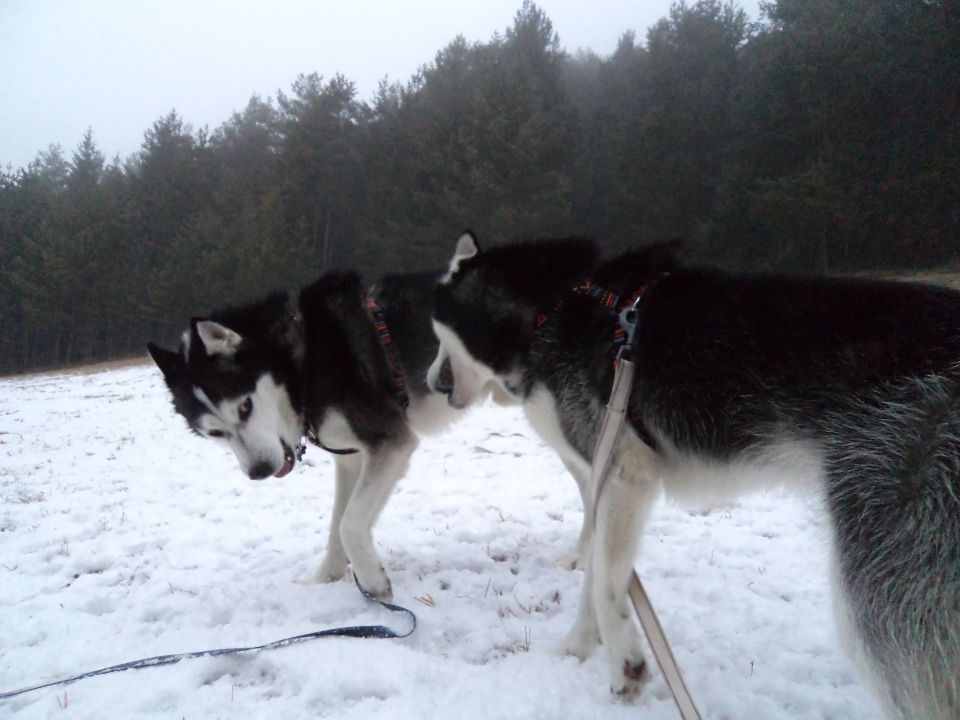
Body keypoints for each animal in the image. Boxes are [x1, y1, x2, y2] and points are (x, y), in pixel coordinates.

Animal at [430, 233, 960, 716]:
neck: (551, 308)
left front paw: (622, 662)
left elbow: (603, 586)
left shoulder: (625, 473)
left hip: (878, 586)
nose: (432, 383)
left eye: (437, 341)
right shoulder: (605, 484)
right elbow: (596, 580)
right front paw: (575, 650)